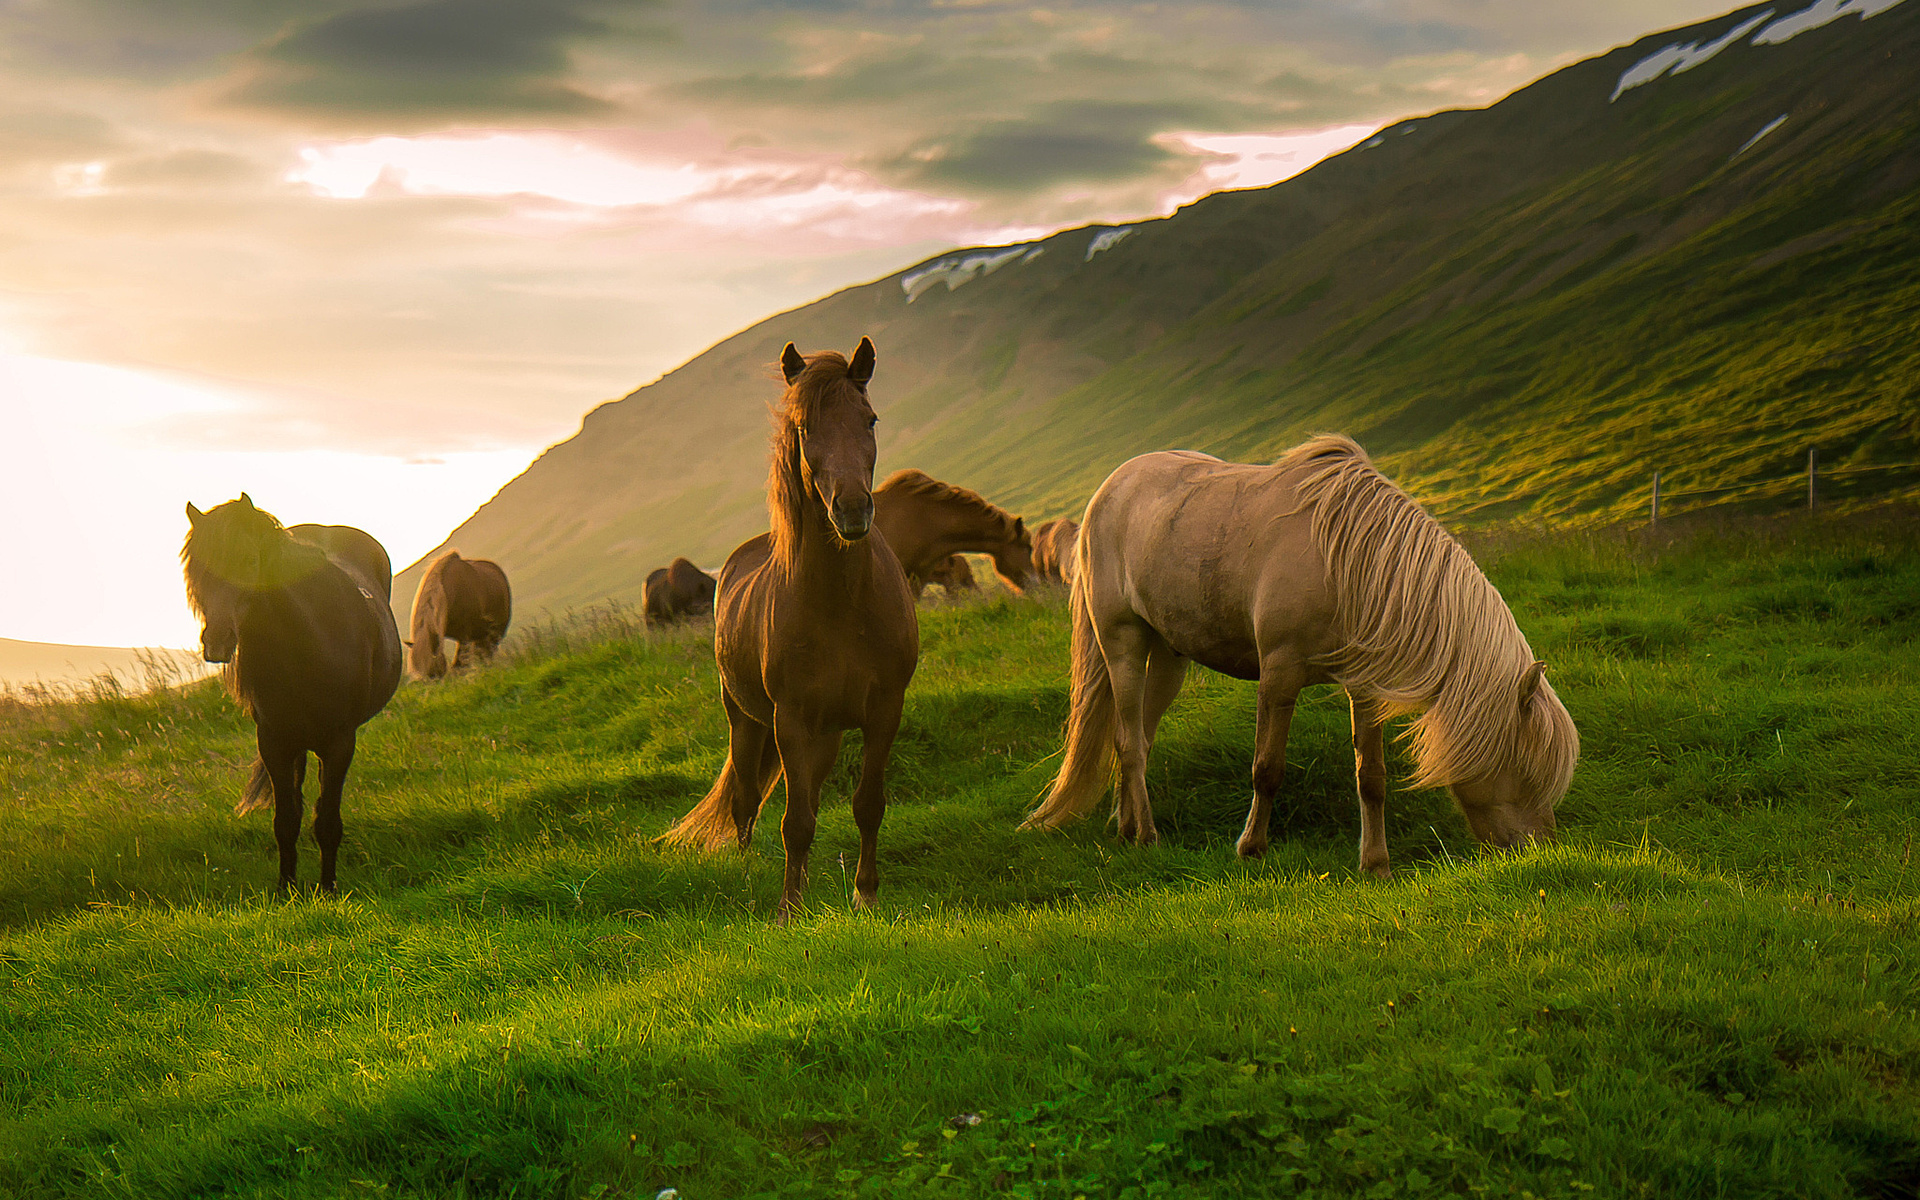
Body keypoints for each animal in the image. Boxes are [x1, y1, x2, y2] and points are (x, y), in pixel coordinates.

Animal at [181, 491, 403, 894]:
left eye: (248, 560)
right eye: (197, 570)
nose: (217, 641)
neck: (309, 641)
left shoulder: (340, 743)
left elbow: (327, 822)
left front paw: (328, 888)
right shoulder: (274, 742)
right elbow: (286, 821)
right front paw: (287, 888)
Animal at [660, 341, 921, 921]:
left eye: (870, 419)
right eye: (804, 427)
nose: (852, 508)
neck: (842, 606)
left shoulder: (883, 712)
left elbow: (867, 805)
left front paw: (865, 894)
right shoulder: (792, 720)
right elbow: (794, 822)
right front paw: (788, 909)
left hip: (824, 735)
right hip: (747, 721)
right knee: (745, 802)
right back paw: (746, 871)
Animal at [1029, 435, 1582, 875]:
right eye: (1526, 767)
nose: (1540, 847)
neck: (1351, 565)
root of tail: (1108, 489)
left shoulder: (1365, 688)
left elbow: (1371, 777)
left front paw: (1375, 863)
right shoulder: (1279, 674)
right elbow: (1267, 768)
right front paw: (1251, 847)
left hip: (1170, 655)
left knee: (1139, 735)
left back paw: (1125, 826)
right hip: (1121, 641)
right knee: (1127, 740)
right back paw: (1146, 836)